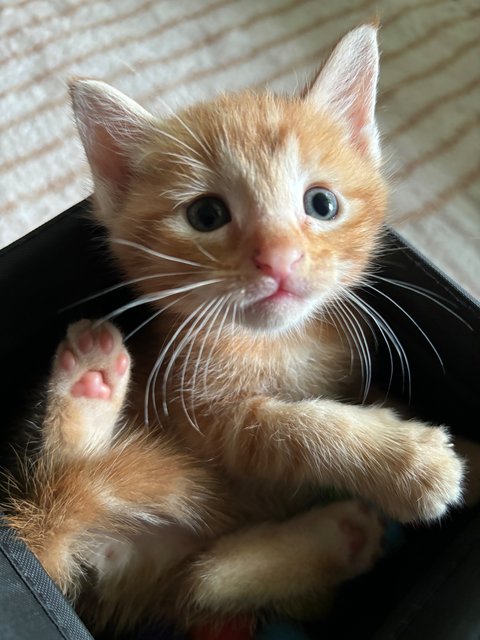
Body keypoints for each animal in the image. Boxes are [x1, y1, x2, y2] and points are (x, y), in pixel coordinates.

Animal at [1, 23, 464, 636]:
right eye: (206, 215)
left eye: (321, 203)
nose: (280, 258)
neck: (279, 344)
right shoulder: (204, 418)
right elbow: (292, 429)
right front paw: (407, 464)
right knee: (179, 563)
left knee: (206, 579)